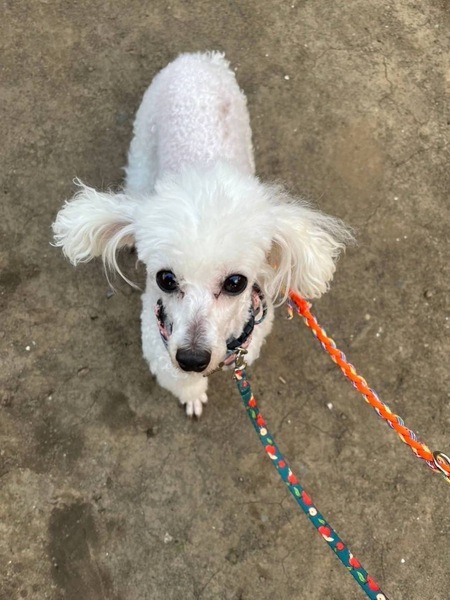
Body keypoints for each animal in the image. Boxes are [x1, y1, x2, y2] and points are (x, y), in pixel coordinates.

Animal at [52, 52, 352, 417]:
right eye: (165, 279)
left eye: (236, 283)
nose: (192, 358)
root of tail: (198, 58)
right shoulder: (162, 352)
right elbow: (182, 382)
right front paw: (193, 395)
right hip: (144, 143)